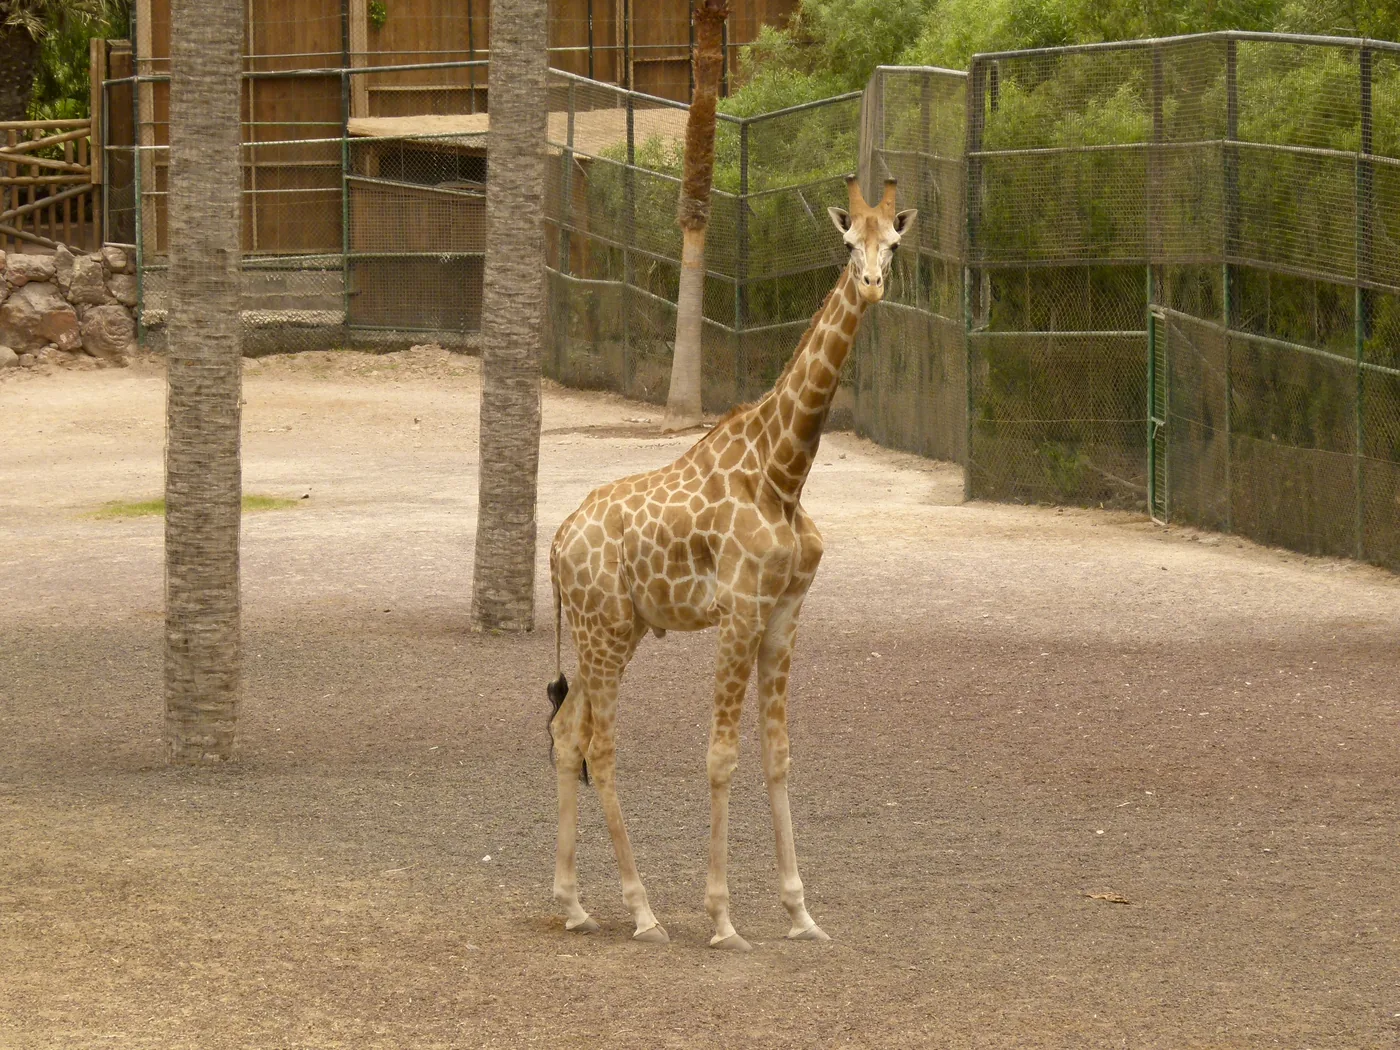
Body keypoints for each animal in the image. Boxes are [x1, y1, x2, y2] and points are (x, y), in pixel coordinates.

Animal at [546, 175, 916, 949]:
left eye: (893, 244)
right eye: (847, 243)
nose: (871, 286)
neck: (782, 474)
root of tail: (558, 544)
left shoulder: (784, 613)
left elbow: (778, 755)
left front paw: (801, 914)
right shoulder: (739, 611)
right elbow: (721, 755)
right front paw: (722, 919)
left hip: (614, 630)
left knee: (567, 736)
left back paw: (574, 903)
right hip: (603, 630)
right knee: (600, 746)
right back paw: (644, 912)